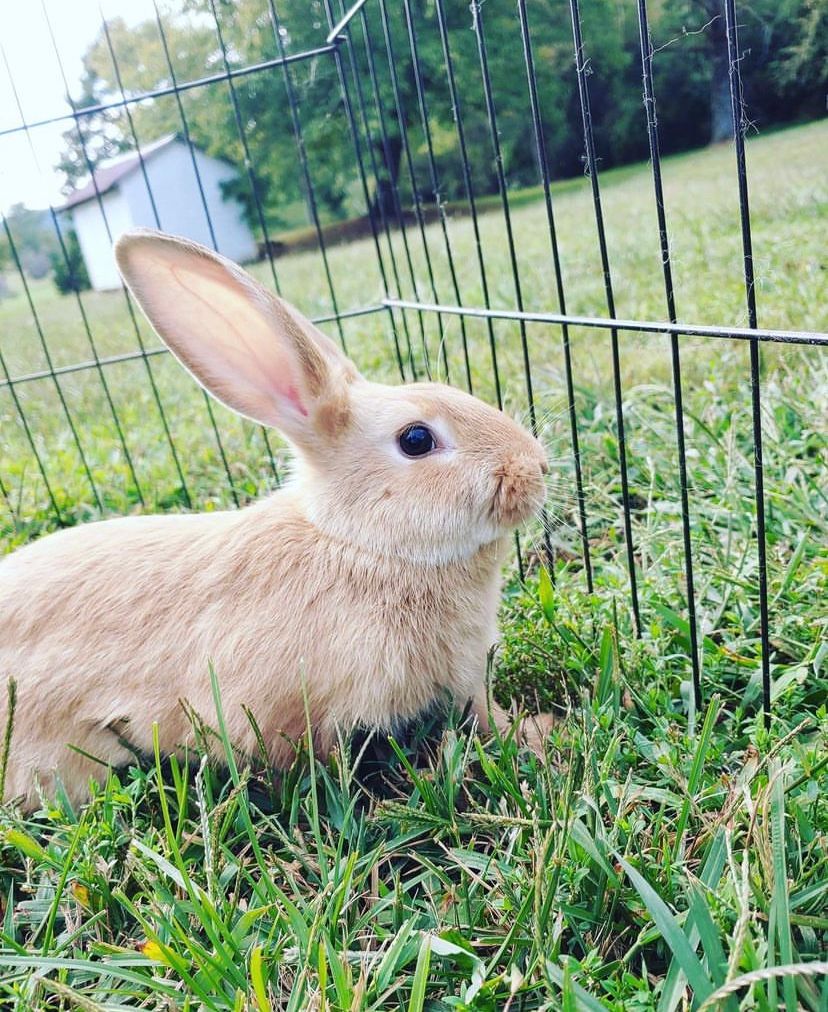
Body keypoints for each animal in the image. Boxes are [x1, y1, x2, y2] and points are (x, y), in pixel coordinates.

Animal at [1, 231, 554, 813]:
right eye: (417, 439)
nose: (536, 468)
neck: (359, 542)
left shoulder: (468, 675)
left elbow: (486, 714)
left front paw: (536, 733)